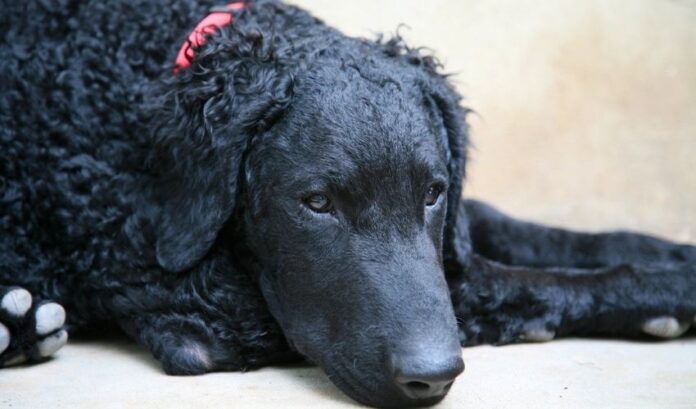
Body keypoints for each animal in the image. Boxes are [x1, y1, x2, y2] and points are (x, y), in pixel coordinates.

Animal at [1, 0, 696, 406]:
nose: (433, 376)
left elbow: (514, 232)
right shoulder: (200, 305)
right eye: (316, 202)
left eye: (433, 193)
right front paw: (666, 293)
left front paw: (669, 253)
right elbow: (515, 283)